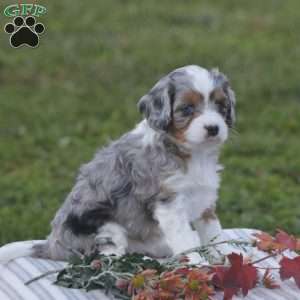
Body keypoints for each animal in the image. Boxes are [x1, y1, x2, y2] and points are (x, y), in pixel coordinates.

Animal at [0, 64, 234, 262]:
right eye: (187, 109)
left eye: (221, 106)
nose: (213, 128)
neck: (191, 153)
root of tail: (51, 246)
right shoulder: (169, 205)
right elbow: (185, 240)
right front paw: (198, 263)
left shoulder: (205, 201)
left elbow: (214, 233)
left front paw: (229, 257)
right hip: (105, 228)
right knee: (106, 258)